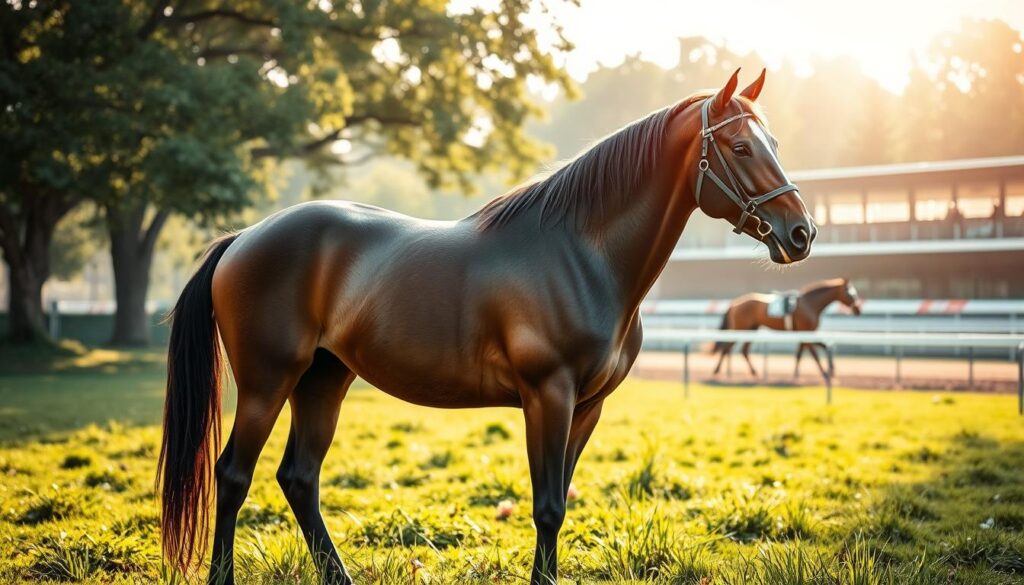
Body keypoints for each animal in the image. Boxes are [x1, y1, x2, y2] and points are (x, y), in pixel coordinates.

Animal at [157, 69, 815, 585]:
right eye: (739, 146)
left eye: (776, 141)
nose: (800, 233)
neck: (582, 253)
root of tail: (243, 238)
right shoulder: (547, 394)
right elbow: (547, 507)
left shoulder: (587, 406)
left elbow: (559, 502)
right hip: (268, 382)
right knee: (233, 475)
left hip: (324, 379)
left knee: (298, 478)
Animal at [712, 278, 864, 383]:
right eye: (851, 294)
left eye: (855, 293)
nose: (858, 310)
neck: (810, 304)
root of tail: (735, 303)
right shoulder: (806, 333)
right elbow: (814, 354)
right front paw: (826, 374)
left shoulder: (804, 334)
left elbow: (802, 353)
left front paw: (796, 375)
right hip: (741, 328)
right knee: (726, 348)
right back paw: (716, 371)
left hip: (752, 329)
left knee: (743, 350)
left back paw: (755, 373)